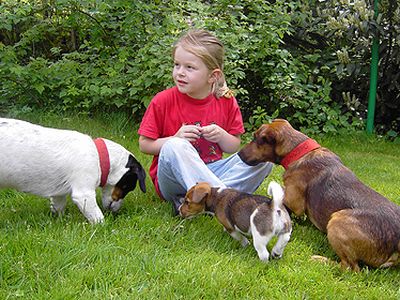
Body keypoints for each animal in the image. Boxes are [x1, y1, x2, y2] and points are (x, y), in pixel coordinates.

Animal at [0, 118, 147, 224]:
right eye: (128, 187)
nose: (116, 212)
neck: (99, 157)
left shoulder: (58, 194)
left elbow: (58, 207)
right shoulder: (84, 195)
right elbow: (98, 218)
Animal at [238, 119, 400, 272]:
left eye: (256, 138)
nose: (238, 154)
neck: (298, 152)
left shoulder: (294, 202)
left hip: (336, 220)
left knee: (350, 268)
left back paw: (320, 260)